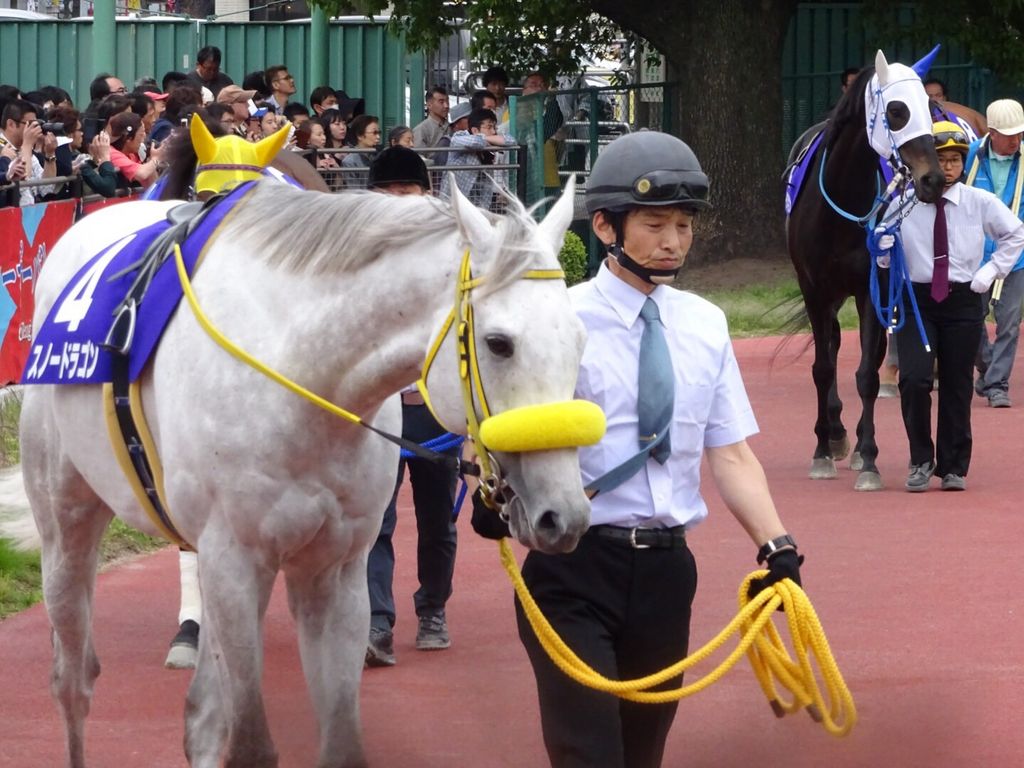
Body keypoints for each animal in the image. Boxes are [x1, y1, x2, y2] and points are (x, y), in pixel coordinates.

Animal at [20, 177, 596, 768]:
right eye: (499, 343)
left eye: (580, 339)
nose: (564, 514)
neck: (301, 373)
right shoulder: (234, 562)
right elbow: (250, 746)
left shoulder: (334, 570)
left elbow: (339, 743)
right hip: (67, 527)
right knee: (73, 680)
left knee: (200, 716)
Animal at [786, 49, 944, 490]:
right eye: (896, 111)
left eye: (930, 108)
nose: (933, 179)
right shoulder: (814, 289)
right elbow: (823, 368)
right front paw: (822, 452)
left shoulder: (873, 284)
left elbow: (867, 375)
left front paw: (869, 458)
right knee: (833, 345)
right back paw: (835, 434)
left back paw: (853, 444)